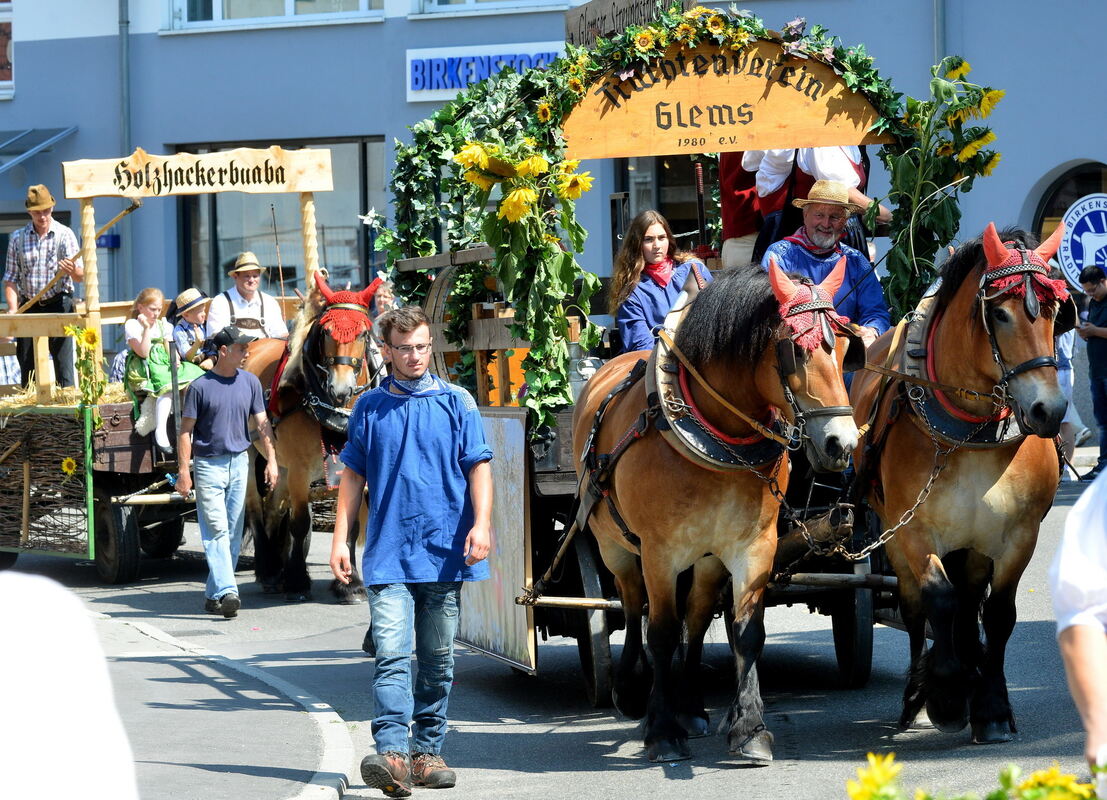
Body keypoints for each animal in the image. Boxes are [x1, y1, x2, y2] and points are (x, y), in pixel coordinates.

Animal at [242, 272, 385, 601]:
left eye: (363, 334)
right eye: (325, 331)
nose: (341, 388)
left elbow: (350, 525)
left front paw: (349, 582)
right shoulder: (298, 469)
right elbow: (299, 523)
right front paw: (297, 582)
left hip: (279, 464)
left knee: (274, 509)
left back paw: (278, 568)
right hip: (252, 454)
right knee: (255, 507)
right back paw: (269, 570)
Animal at [571, 260, 863, 765]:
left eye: (845, 348)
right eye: (796, 350)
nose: (841, 445)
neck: (715, 437)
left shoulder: (755, 545)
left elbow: (746, 632)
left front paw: (749, 730)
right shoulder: (659, 552)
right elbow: (660, 632)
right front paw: (661, 732)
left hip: (707, 558)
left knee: (696, 614)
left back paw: (690, 707)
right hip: (614, 545)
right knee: (630, 603)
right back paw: (632, 691)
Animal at [850, 220, 1076, 743]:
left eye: (1056, 311)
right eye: (1000, 313)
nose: (1049, 410)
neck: (971, 432)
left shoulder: (1019, 535)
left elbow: (998, 614)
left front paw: (990, 707)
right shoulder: (912, 530)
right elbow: (939, 599)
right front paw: (948, 693)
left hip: (974, 542)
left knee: (972, 600)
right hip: (895, 536)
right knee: (916, 607)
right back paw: (918, 695)